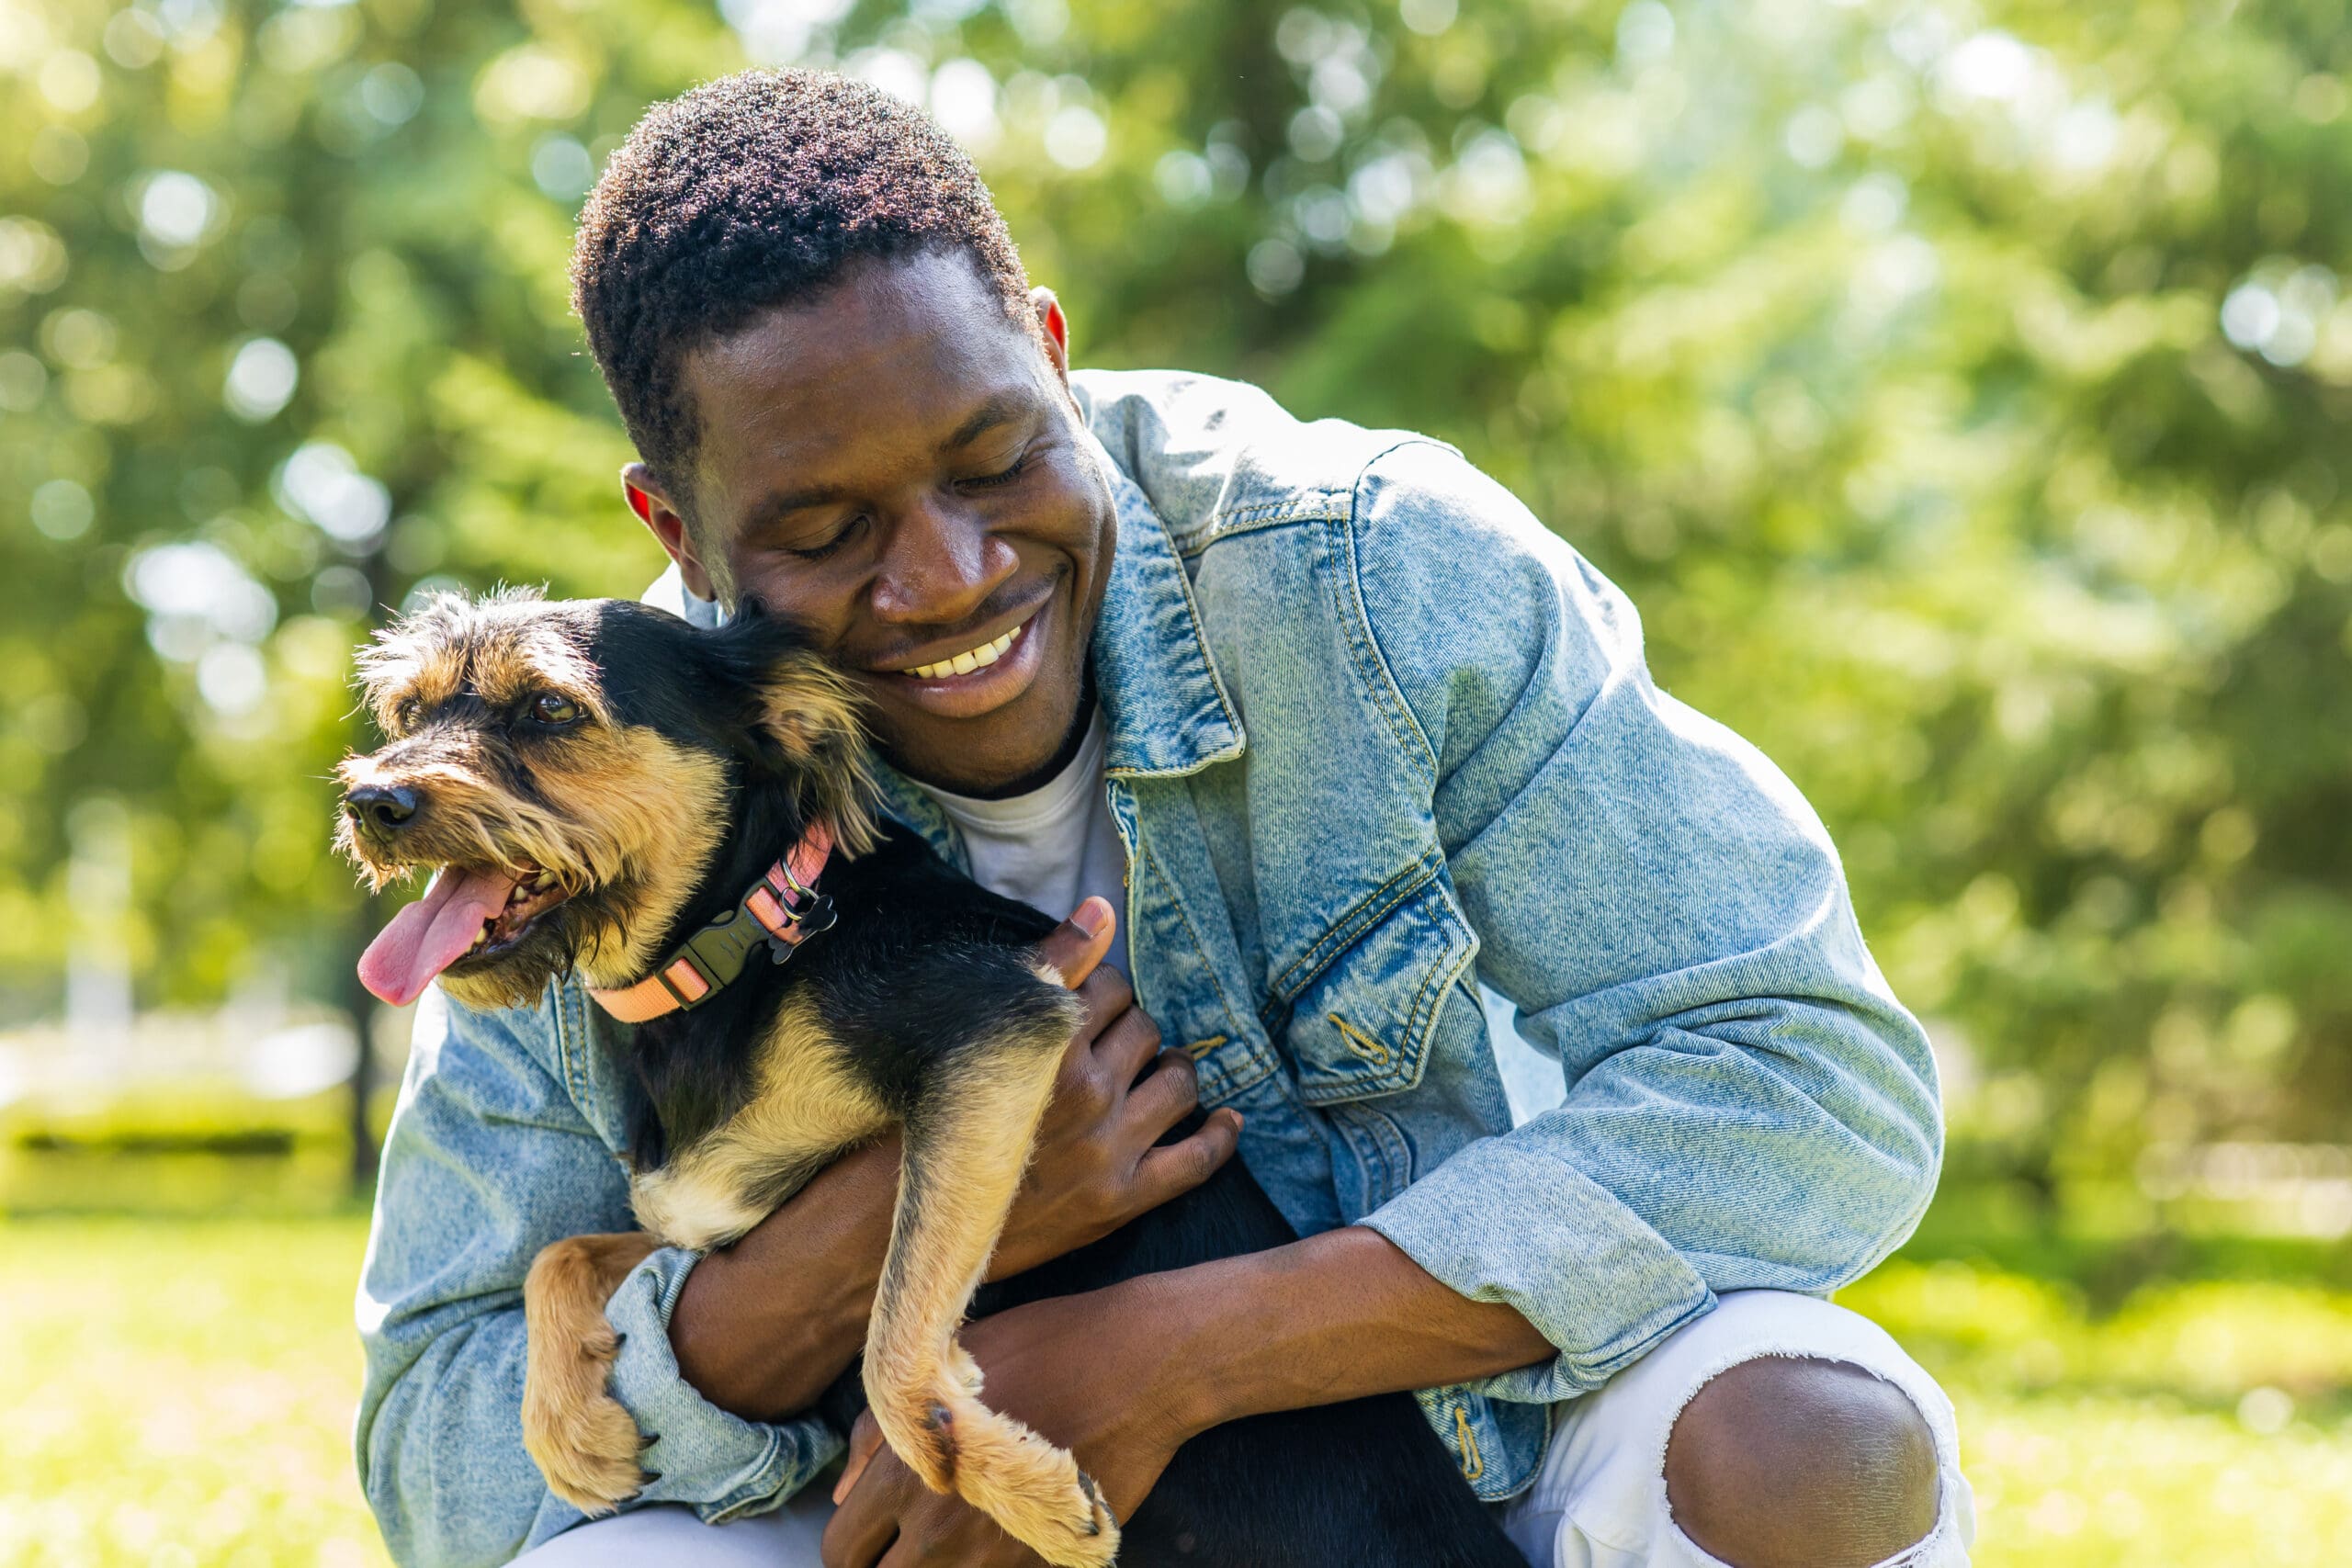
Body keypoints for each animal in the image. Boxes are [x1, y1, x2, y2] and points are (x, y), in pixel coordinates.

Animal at [336, 592, 1523, 1568]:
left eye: (548, 708)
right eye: (407, 711)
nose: (373, 803)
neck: (749, 941)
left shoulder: (992, 1030)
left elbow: (891, 1337)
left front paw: (1020, 1488)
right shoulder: (720, 1217)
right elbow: (562, 1254)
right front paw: (570, 1434)